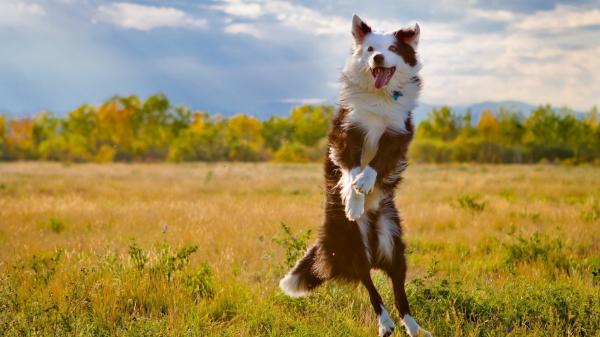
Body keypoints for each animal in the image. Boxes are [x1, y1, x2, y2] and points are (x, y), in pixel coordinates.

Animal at [282, 14, 432, 334]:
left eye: (392, 48)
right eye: (370, 48)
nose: (378, 57)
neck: (379, 98)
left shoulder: (397, 134)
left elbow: (376, 163)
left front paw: (366, 183)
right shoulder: (347, 132)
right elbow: (350, 171)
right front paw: (353, 200)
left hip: (393, 241)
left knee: (398, 289)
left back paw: (413, 327)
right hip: (353, 242)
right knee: (369, 283)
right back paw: (385, 323)